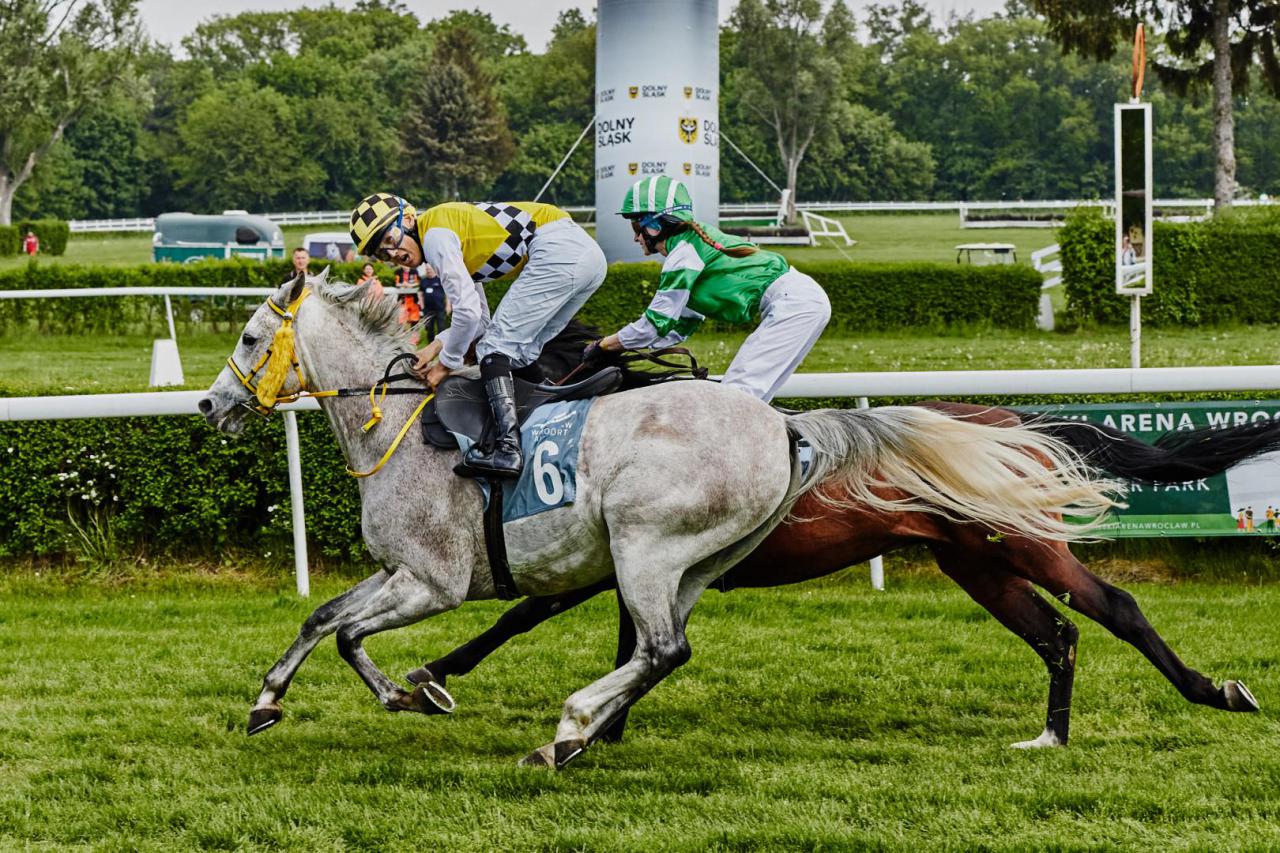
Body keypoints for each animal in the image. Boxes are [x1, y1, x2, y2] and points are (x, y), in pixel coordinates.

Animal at [197, 270, 1121, 763]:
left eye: (247, 337)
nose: (209, 405)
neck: (397, 422)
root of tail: (785, 427)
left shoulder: (436, 579)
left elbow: (350, 632)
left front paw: (405, 691)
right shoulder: (402, 571)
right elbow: (324, 618)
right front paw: (272, 701)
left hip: (647, 545)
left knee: (664, 646)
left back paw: (570, 726)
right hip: (697, 562)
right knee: (659, 648)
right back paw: (583, 729)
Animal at [407, 397, 1269, 742]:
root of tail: (1016, 421)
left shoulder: (617, 553)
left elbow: (521, 614)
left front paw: (433, 674)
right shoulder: (632, 557)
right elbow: (626, 640)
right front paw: (604, 725)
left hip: (1020, 542)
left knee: (1116, 605)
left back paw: (1216, 690)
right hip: (973, 559)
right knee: (1054, 632)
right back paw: (1048, 735)